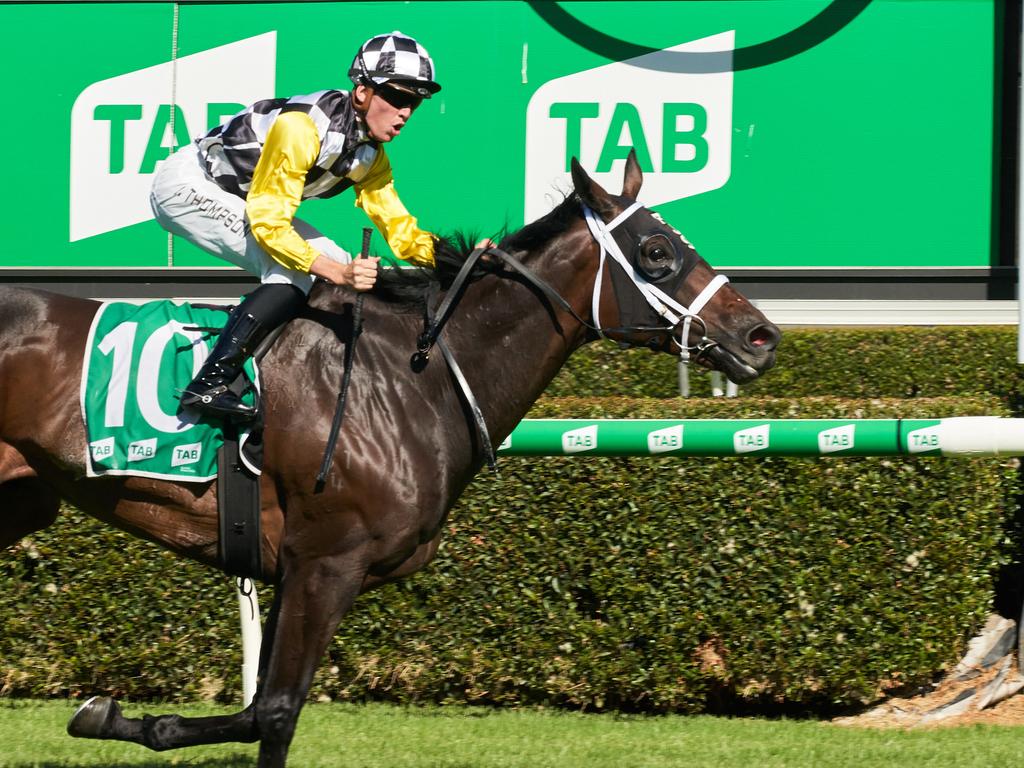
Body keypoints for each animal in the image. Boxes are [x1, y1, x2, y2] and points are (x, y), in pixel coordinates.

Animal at [0, 153, 778, 765]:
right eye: (656, 253)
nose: (761, 336)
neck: (414, 375)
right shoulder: (326, 563)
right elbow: (274, 710)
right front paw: (106, 714)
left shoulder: (297, 566)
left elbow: (262, 712)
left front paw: (112, 715)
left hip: (22, 503)